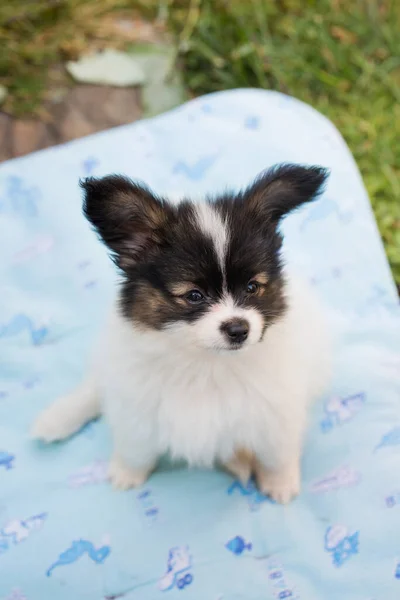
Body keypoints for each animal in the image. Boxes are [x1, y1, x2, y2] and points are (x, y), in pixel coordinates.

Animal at [31, 163, 332, 502]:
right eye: (194, 295)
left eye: (252, 287)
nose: (238, 329)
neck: (205, 362)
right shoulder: (137, 403)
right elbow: (135, 446)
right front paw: (127, 473)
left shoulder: (277, 409)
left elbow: (277, 452)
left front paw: (279, 484)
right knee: (96, 387)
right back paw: (58, 418)